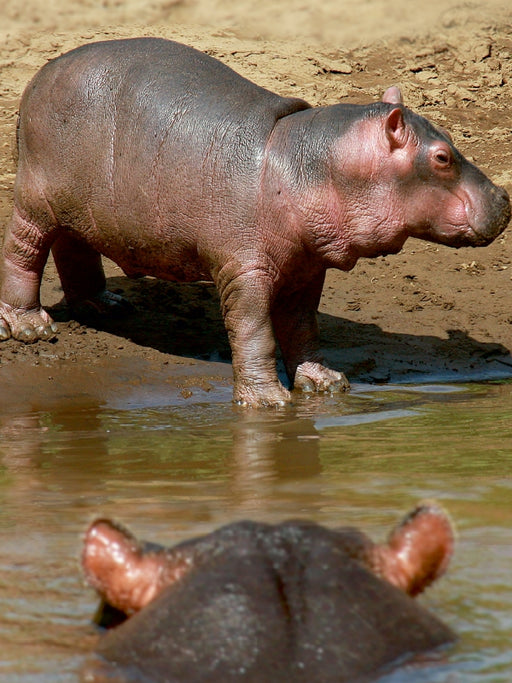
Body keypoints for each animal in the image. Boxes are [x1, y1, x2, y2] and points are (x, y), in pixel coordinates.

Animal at [2, 38, 510, 406]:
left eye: (449, 139)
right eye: (442, 157)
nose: (505, 196)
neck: (310, 161)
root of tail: (41, 73)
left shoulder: (307, 269)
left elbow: (303, 328)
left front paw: (326, 384)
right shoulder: (243, 270)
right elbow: (254, 333)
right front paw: (270, 404)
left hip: (80, 206)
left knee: (74, 246)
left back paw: (107, 306)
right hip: (36, 197)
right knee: (23, 251)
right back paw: (31, 328)